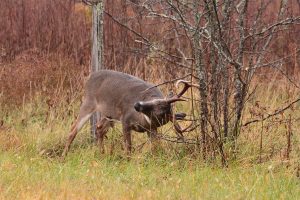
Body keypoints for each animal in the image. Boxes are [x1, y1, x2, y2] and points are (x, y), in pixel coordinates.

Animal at [62, 69, 192, 157]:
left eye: (159, 111)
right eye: (153, 101)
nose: (137, 104)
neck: (142, 121)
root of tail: (90, 76)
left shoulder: (152, 128)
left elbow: (155, 147)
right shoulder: (125, 120)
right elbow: (128, 147)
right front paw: (127, 161)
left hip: (109, 114)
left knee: (99, 128)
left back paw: (102, 153)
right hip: (89, 102)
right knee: (73, 129)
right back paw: (64, 156)